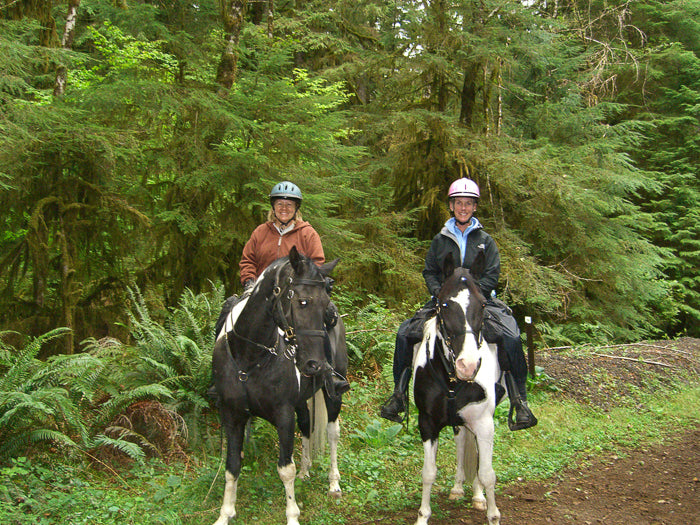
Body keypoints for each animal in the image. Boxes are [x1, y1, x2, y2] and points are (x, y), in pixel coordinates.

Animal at [211, 247, 348, 524]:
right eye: (302, 301)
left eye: (324, 304)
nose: (315, 365)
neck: (249, 357)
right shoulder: (231, 415)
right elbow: (232, 466)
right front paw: (225, 513)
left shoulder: (283, 414)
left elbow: (286, 469)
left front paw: (292, 515)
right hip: (301, 402)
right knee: (306, 425)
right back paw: (306, 471)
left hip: (333, 396)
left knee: (332, 433)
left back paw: (333, 483)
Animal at [412, 252, 500, 520]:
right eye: (444, 305)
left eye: (483, 305)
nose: (468, 365)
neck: (452, 379)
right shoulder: (427, 423)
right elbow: (428, 472)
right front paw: (423, 517)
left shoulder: (485, 424)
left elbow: (487, 474)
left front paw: (492, 515)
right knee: (462, 443)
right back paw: (459, 487)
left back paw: (477, 495)